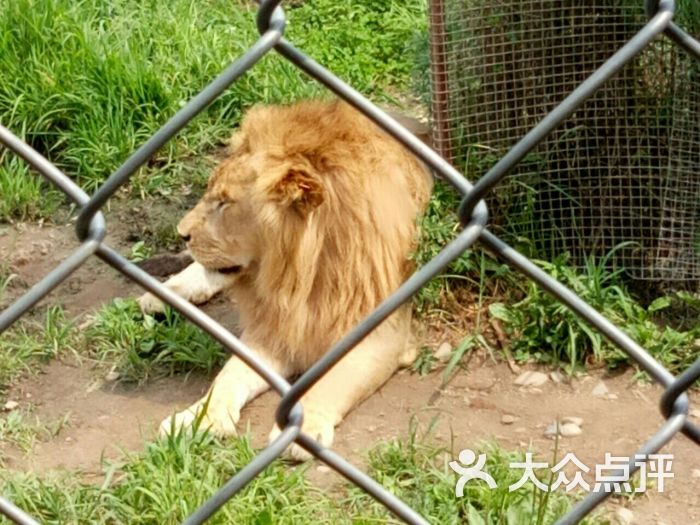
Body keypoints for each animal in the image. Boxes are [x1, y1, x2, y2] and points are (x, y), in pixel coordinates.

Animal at [137, 98, 432, 458]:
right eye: (210, 194)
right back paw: (160, 294)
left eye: (225, 203)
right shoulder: (273, 327)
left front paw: (303, 429)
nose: (182, 234)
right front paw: (198, 420)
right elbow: (229, 375)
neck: (298, 274)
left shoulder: (381, 334)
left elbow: (333, 381)